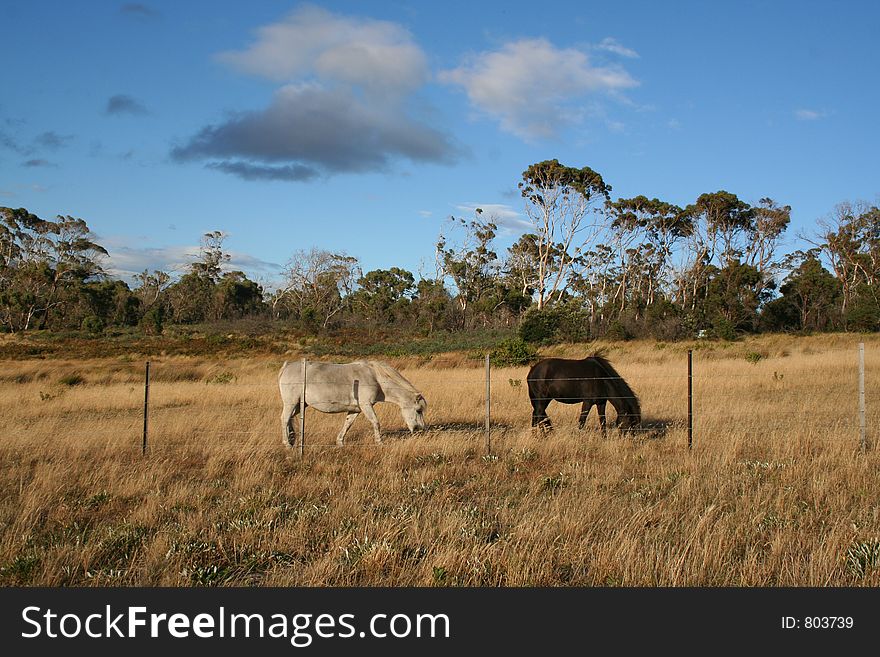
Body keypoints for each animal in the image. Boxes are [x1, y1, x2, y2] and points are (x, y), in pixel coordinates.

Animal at [276, 358, 424, 446]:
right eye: (418, 410)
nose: (419, 430)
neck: (375, 377)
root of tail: (287, 366)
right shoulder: (366, 405)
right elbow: (376, 423)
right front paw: (379, 442)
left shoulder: (355, 410)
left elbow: (347, 425)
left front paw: (340, 443)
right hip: (291, 403)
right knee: (284, 418)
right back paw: (287, 444)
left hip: (298, 406)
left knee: (289, 420)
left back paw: (292, 440)